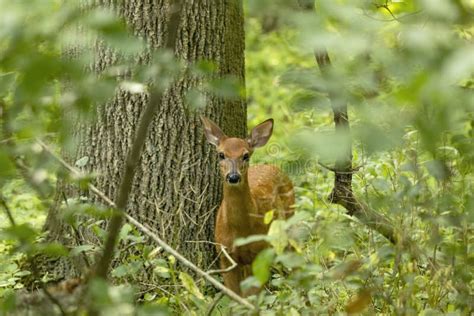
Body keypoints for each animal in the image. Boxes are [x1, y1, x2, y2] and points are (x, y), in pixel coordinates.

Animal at [201, 116, 296, 296]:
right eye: (221, 154)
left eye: (245, 155)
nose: (233, 177)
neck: (240, 231)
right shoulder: (225, 256)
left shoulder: (259, 254)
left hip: (289, 221)